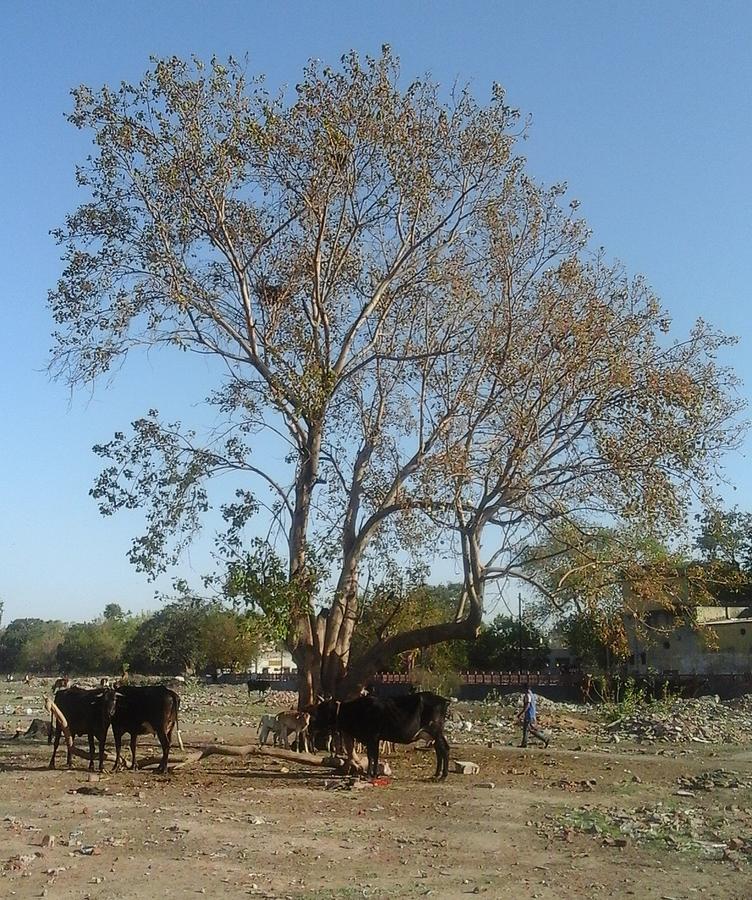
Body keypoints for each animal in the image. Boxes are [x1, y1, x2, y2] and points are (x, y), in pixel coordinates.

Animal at [312, 692, 452, 776]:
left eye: (323, 709)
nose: (313, 724)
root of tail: (444, 700)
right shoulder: (373, 739)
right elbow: (373, 756)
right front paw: (373, 773)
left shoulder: (372, 737)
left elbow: (372, 756)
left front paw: (371, 774)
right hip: (433, 735)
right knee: (440, 750)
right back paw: (437, 774)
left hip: (435, 731)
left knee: (444, 749)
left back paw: (442, 776)